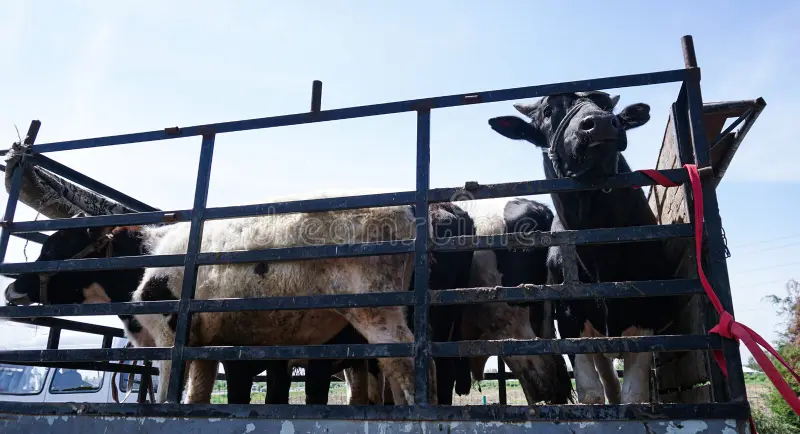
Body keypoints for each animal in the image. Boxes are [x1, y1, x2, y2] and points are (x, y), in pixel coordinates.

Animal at [487, 91, 686, 404]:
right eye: (548, 111)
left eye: (605, 105)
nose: (601, 123)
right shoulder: (571, 322)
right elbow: (592, 394)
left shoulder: (647, 317)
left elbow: (633, 396)